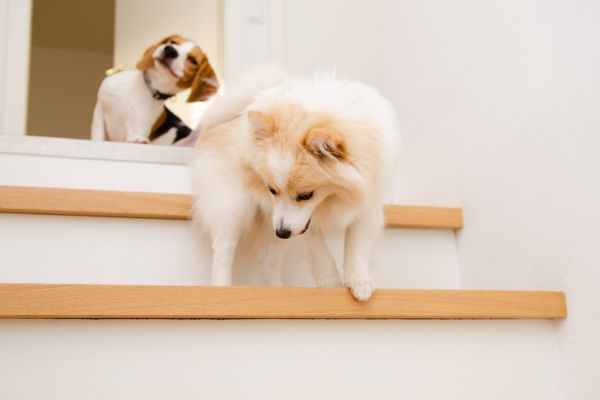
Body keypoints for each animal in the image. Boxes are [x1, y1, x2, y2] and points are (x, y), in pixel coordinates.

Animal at [190, 71, 400, 300]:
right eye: (272, 190)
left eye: (305, 195)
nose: (282, 232)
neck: (334, 198)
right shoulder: (303, 225)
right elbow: (319, 254)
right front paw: (331, 284)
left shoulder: (367, 201)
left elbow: (357, 247)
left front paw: (359, 282)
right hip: (234, 208)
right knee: (223, 250)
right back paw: (222, 288)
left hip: (269, 223)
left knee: (267, 261)